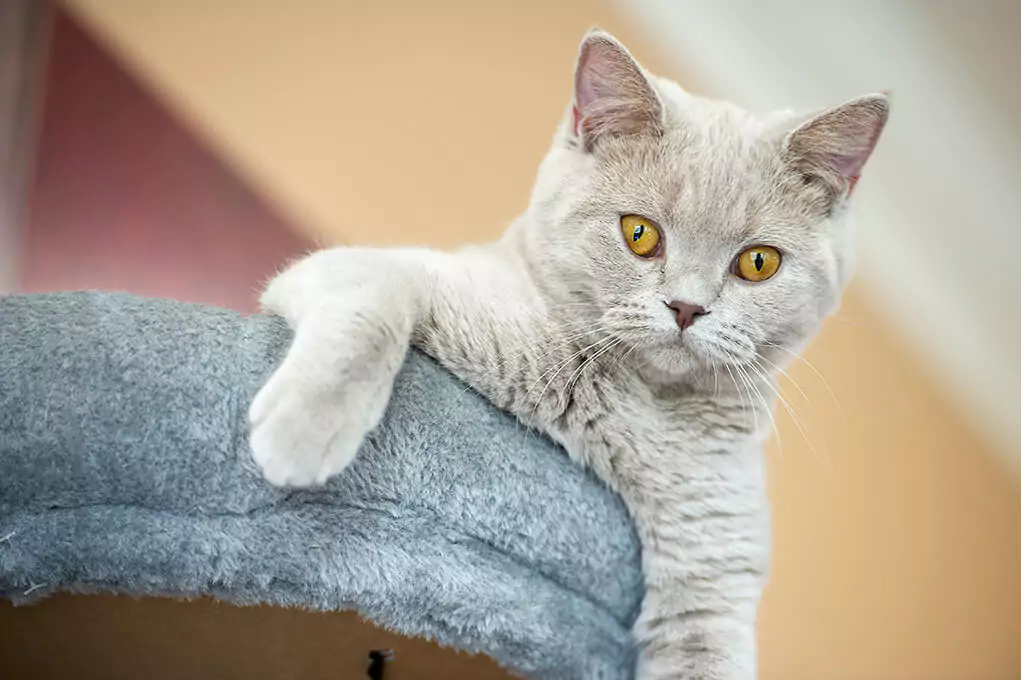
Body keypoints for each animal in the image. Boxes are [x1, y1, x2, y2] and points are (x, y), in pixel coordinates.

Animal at [245, 27, 886, 677]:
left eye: (758, 263)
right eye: (640, 234)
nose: (686, 307)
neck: (631, 406)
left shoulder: (715, 575)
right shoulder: (408, 273)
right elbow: (374, 300)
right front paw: (303, 434)